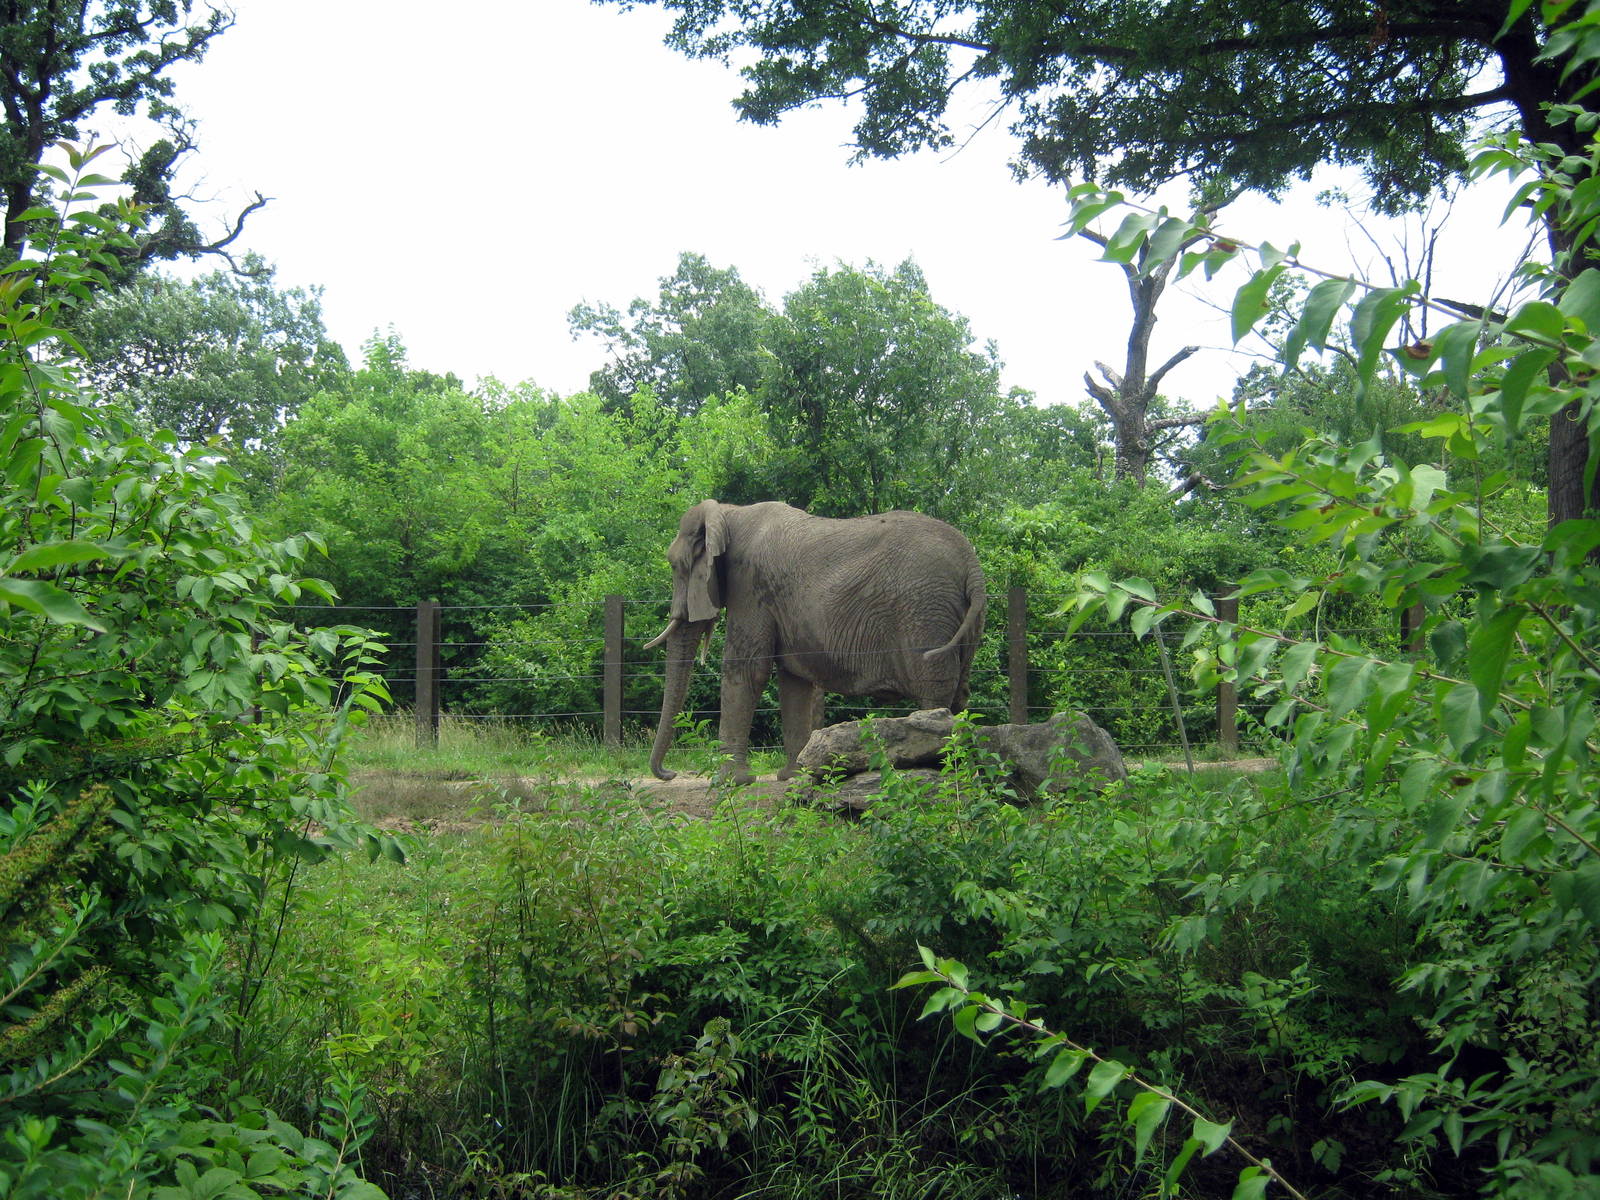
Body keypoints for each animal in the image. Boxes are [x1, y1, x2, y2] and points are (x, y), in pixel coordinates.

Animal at [645, 499, 987, 784]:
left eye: (676, 566)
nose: (669, 773)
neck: (729, 512)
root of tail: (972, 565)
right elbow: (794, 680)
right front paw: (793, 776)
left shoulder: (751, 586)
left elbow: (747, 670)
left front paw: (729, 782)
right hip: (957, 616)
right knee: (961, 691)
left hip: (925, 611)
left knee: (934, 689)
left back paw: (940, 767)